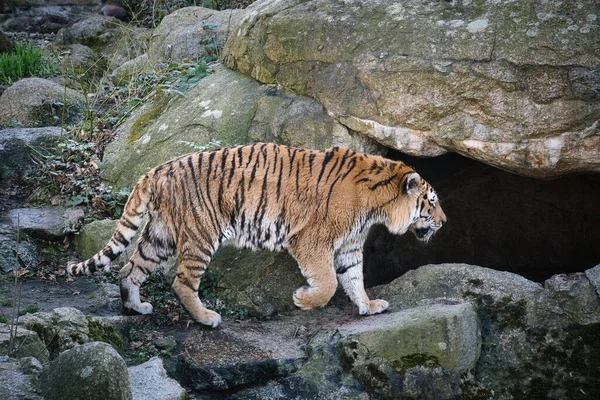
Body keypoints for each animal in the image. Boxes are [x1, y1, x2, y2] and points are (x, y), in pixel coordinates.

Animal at [69, 142, 446, 326]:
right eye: (431, 202)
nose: (443, 222)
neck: (377, 206)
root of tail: (156, 170)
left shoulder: (350, 247)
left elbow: (353, 279)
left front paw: (368, 306)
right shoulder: (311, 240)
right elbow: (328, 283)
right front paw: (303, 300)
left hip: (159, 235)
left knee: (129, 269)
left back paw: (136, 308)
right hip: (201, 235)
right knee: (181, 282)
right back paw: (207, 319)